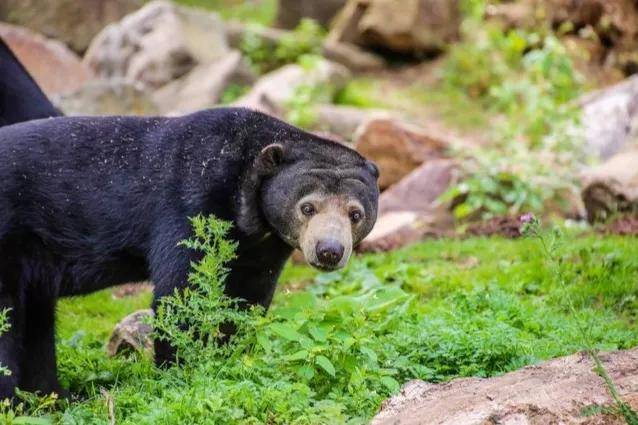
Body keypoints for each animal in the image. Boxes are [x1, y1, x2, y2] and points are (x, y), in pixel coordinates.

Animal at [0, 107, 380, 398]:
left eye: (355, 213)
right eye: (307, 208)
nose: (329, 251)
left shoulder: (261, 248)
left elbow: (245, 299)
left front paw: (230, 357)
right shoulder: (191, 203)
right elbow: (181, 294)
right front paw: (181, 374)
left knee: (36, 323)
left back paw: (54, 396)